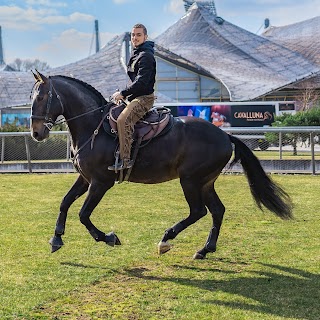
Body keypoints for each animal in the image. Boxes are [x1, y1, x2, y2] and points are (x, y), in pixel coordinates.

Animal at [30, 71, 292, 258]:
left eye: (41, 97)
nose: (36, 133)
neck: (93, 126)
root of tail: (225, 136)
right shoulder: (85, 179)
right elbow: (65, 202)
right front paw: (57, 238)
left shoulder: (101, 182)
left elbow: (84, 214)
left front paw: (109, 237)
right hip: (205, 182)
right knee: (217, 210)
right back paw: (205, 249)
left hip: (190, 180)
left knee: (198, 211)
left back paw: (166, 239)